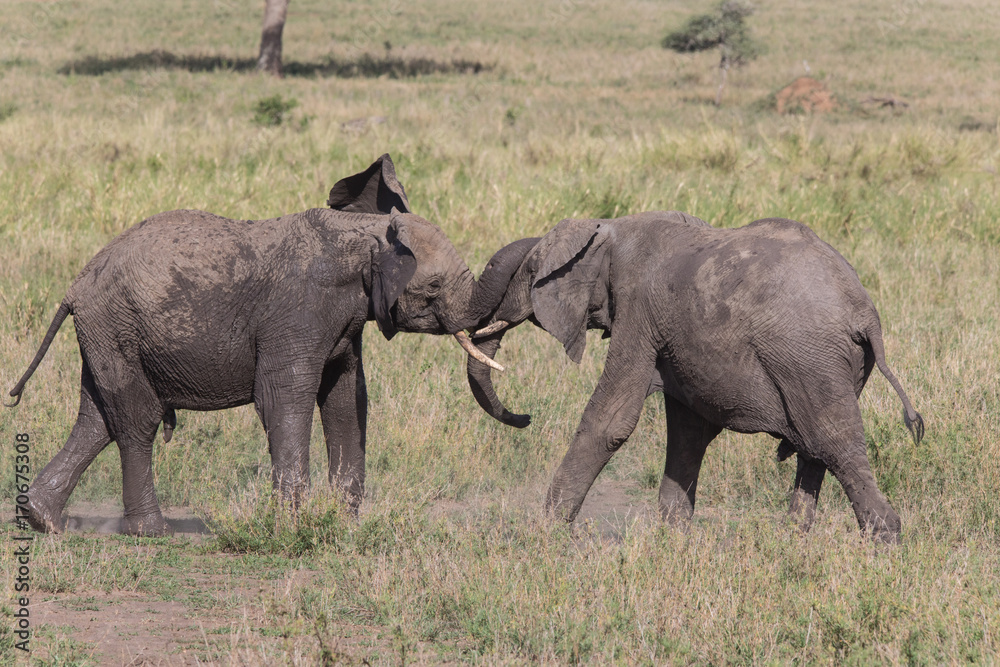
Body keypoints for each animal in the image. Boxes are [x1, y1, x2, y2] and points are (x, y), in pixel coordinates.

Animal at [5, 153, 508, 536]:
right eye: (434, 286)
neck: (360, 235)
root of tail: (75, 286)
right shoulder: (298, 310)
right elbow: (286, 399)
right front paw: (292, 525)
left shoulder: (345, 322)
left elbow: (347, 400)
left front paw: (344, 524)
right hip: (116, 326)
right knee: (135, 420)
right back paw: (151, 531)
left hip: (107, 334)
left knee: (97, 419)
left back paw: (43, 521)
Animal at [464, 213, 924, 544]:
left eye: (528, 273)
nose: (524, 418)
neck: (606, 227)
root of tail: (865, 313)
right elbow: (688, 432)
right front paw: (674, 537)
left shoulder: (637, 311)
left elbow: (611, 422)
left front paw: (544, 533)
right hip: (832, 365)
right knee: (816, 449)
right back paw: (792, 541)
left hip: (809, 358)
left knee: (834, 442)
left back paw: (882, 542)